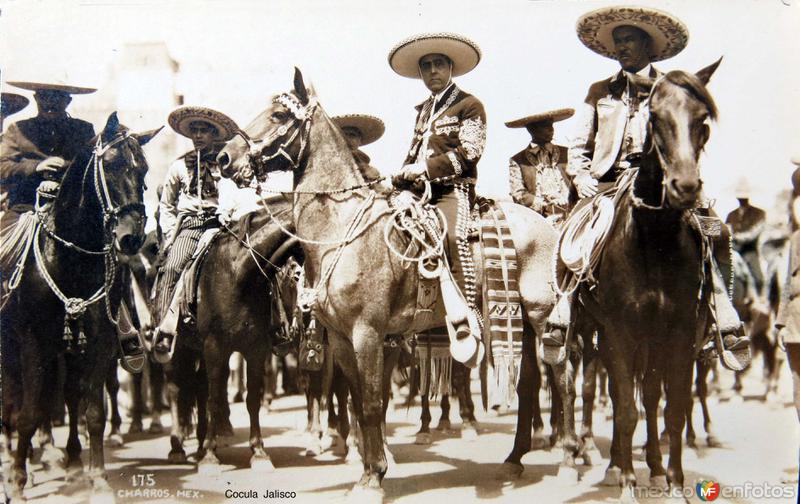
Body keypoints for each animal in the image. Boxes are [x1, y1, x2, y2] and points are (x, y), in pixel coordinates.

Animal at [0, 114, 161, 500]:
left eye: (143, 170)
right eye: (112, 165)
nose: (131, 238)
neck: (70, 258)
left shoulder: (99, 342)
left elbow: (92, 412)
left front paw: (97, 478)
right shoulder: (33, 342)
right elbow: (29, 412)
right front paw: (17, 480)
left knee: (70, 397)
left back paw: (72, 460)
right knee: (12, 403)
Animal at [568, 60, 724, 500]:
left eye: (702, 120)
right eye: (655, 116)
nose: (685, 186)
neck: (653, 241)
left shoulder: (679, 334)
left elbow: (671, 410)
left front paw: (673, 480)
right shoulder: (620, 333)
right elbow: (624, 408)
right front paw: (624, 479)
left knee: (651, 397)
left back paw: (652, 467)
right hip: (596, 333)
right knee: (611, 392)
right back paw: (611, 464)